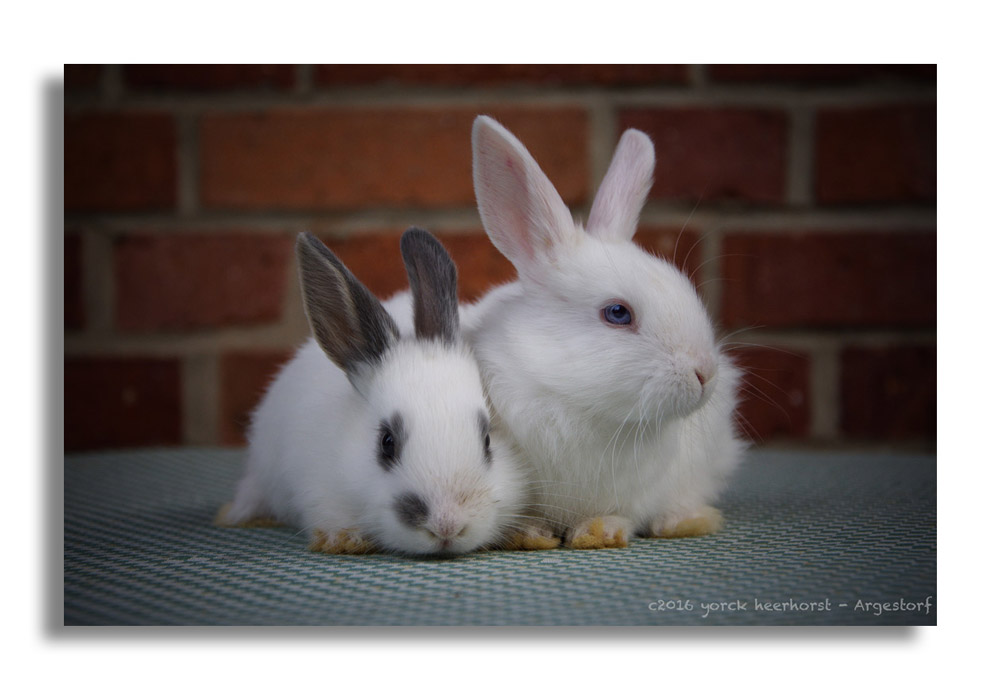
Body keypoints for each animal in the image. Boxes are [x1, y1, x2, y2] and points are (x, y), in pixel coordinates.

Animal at [461, 115, 746, 549]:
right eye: (617, 313)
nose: (704, 375)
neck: (582, 405)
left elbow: (621, 512)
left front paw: (600, 531)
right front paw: (530, 535)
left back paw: (686, 520)